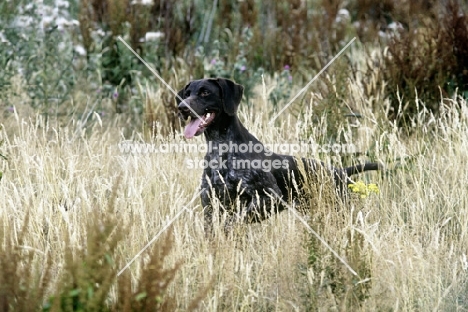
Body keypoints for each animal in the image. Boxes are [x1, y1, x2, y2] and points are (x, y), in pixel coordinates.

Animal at [177, 78, 382, 234]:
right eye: (187, 94)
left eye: (205, 92)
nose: (181, 107)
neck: (220, 148)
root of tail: (340, 171)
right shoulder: (209, 202)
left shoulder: (269, 198)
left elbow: (233, 222)